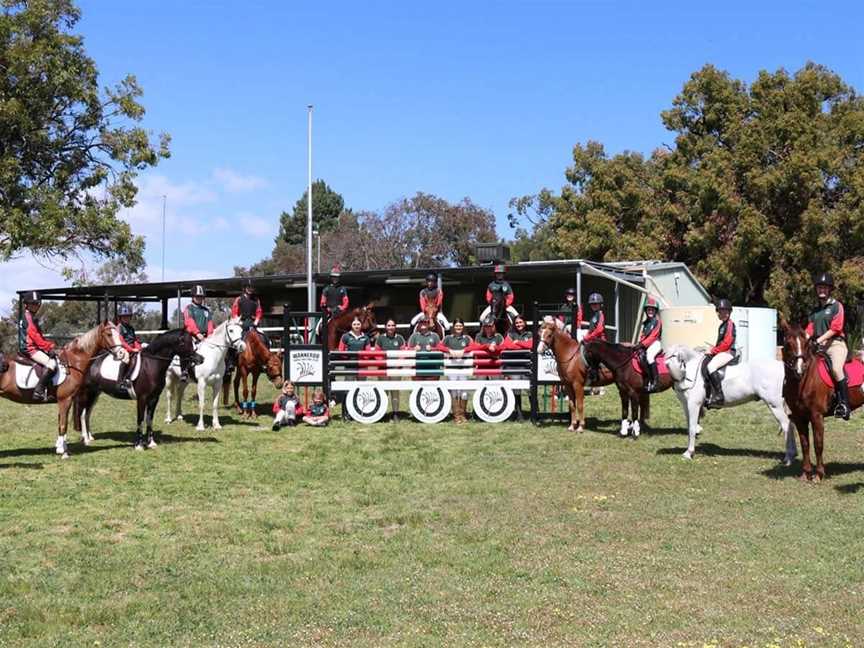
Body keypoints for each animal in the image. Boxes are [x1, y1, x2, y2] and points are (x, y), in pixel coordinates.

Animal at [0, 322, 127, 458]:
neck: (73, 362)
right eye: (109, 334)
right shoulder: (65, 400)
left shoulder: (66, 401)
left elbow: (61, 422)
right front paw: (63, 452)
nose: (122, 353)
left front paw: (62, 447)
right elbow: (63, 425)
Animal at [72, 330, 204, 450]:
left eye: (193, 342)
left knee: (88, 413)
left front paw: (151, 443)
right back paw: (86, 439)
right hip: (86, 393)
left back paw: (90, 437)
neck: (151, 364)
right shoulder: (142, 398)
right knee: (82, 414)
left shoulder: (154, 398)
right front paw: (139, 445)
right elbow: (140, 419)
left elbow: (149, 419)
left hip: (95, 394)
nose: (201, 359)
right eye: (183, 342)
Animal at [664, 344, 800, 466]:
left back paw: (788, 458)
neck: (691, 370)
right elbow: (690, 427)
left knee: (786, 425)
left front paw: (688, 453)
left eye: (673, 356)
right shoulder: (686, 405)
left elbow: (692, 428)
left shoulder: (694, 404)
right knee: (790, 424)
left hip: (774, 405)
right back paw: (792, 456)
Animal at [776, 322, 864, 480]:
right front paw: (805, 474)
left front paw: (819, 474)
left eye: (805, 344)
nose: (800, 369)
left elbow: (818, 444)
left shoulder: (816, 416)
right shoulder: (799, 417)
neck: (804, 380)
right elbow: (805, 444)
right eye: (788, 344)